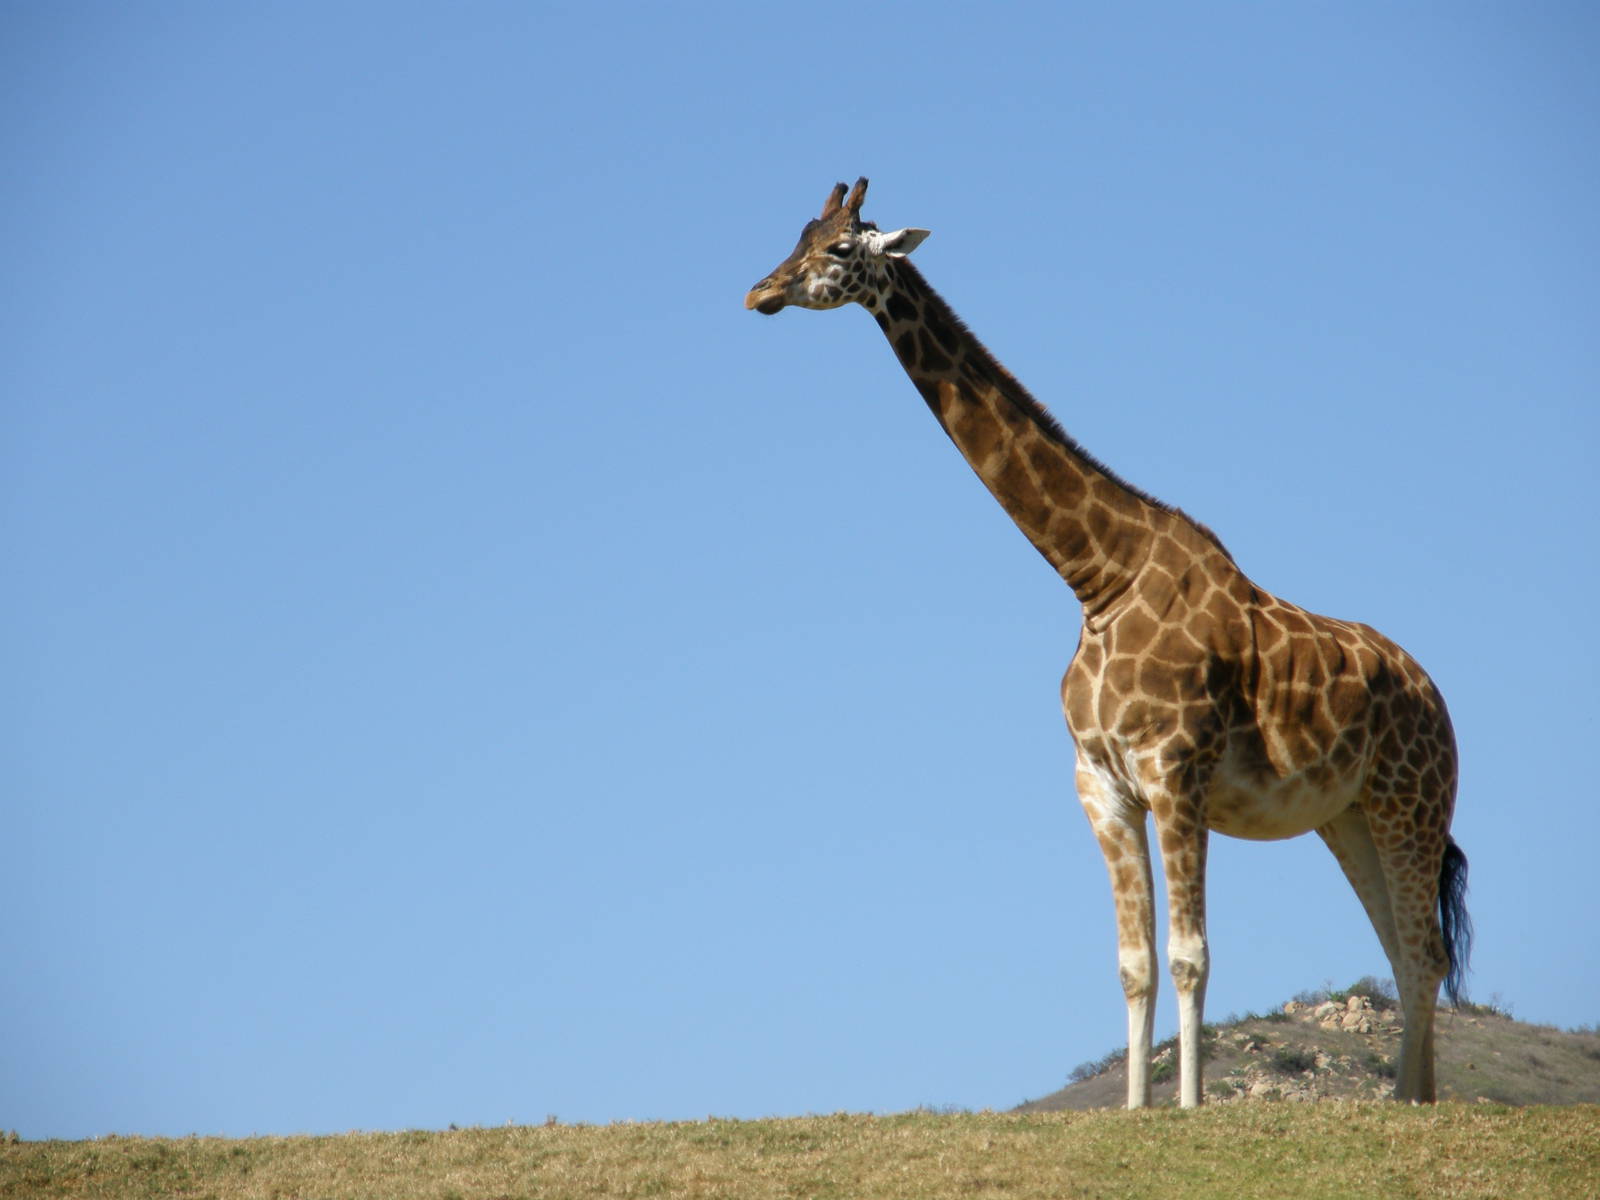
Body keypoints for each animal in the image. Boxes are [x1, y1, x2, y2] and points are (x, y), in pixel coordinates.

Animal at [744, 178, 1470, 1108]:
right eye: (797, 234)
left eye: (839, 249)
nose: (759, 293)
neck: (1098, 578)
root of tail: (1437, 699)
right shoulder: (1102, 786)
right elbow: (1134, 963)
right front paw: (1135, 1113)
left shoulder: (1176, 772)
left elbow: (1192, 956)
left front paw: (1189, 1111)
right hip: (1347, 817)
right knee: (1405, 954)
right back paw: (1410, 1104)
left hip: (1410, 800)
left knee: (1423, 953)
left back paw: (1413, 1108)